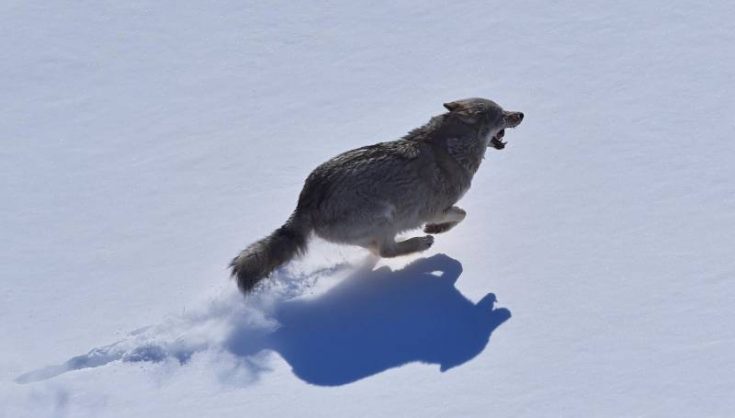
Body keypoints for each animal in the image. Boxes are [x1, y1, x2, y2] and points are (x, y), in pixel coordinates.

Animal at [230, 98, 524, 294]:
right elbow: (461, 214)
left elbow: (460, 216)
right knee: (386, 250)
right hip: (385, 216)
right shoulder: (434, 207)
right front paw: (436, 231)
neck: (452, 147)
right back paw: (422, 243)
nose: (521, 113)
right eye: (502, 115)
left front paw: (437, 230)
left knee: (376, 250)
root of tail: (306, 201)